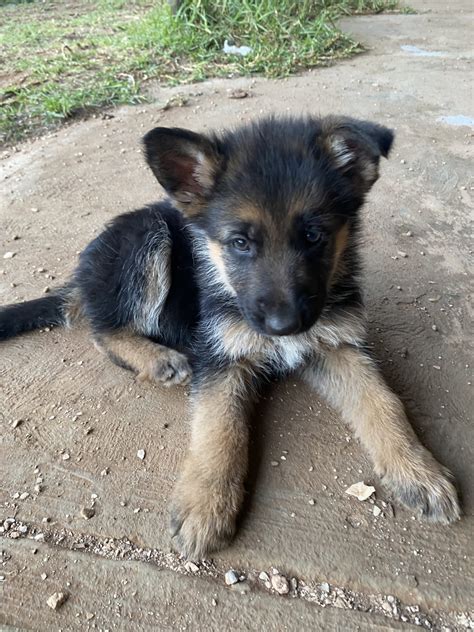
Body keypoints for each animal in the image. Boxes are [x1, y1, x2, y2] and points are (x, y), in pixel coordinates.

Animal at [0, 115, 460, 556]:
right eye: (240, 243)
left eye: (314, 236)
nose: (284, 326)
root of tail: (83, 276)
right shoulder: (219, 355)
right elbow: (218, 427)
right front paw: (206, 504)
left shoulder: (336, 344)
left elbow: (383, 402)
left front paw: (418, 470)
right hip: (149, 234)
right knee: (104, 330)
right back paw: (157, 359)